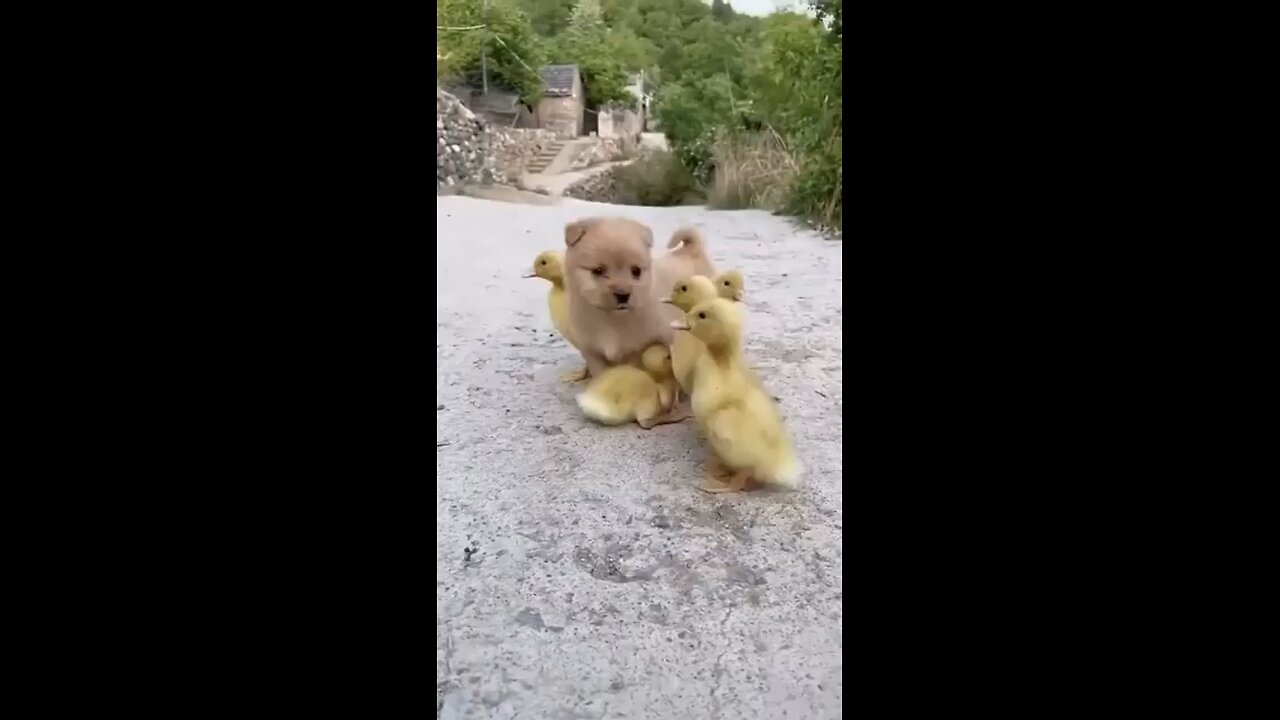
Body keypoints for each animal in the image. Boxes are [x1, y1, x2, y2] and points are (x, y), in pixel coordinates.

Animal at [565, 215, 716, 376]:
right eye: (598, 270)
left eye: (636, 271)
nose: (623, 295)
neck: (611, 319)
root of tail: (690, 250)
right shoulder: (592, 353)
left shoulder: (640, 349)